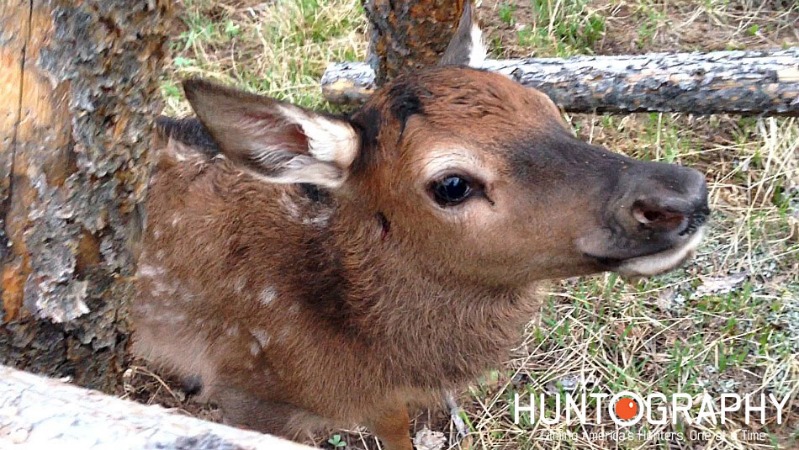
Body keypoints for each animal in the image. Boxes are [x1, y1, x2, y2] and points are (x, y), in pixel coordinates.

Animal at [132, 3, 709, 449]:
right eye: (451, 184)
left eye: (548, 108)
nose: (680, 194)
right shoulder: (247, 391)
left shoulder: (381, 394)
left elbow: (398, 430)